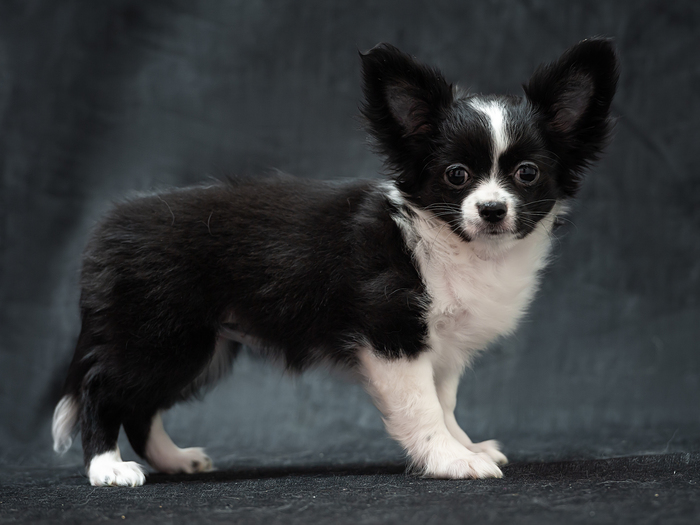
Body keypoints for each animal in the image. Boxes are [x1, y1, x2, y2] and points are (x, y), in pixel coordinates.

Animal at [52, 39, 619, 486]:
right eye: (456, 175)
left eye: (527, 173)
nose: (493, 210)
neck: (455, 243)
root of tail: (109, 225)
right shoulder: (393, 336)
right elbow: (423, 407)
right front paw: (450, 459)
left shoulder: (442, 347)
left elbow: (445, 401)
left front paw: (465, 445)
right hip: (160, 336)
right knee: (103, 390)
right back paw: (107, 468)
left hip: (193, 347)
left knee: (141, 406)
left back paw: (172, 459)